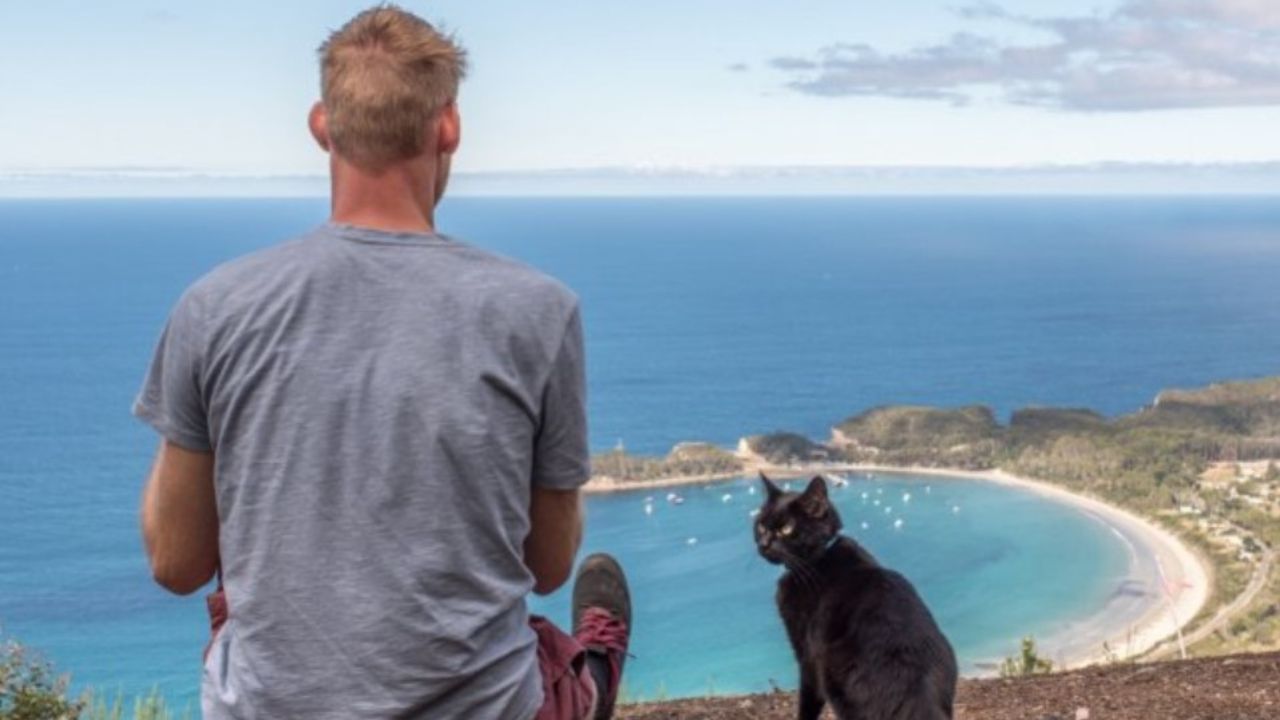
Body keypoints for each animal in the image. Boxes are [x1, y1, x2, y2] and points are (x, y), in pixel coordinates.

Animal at [752, 474, 957, 712]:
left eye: (786, 528)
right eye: (761, 525)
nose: (764, 544)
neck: (818, 558)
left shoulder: (807, 657)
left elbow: (807, 704)